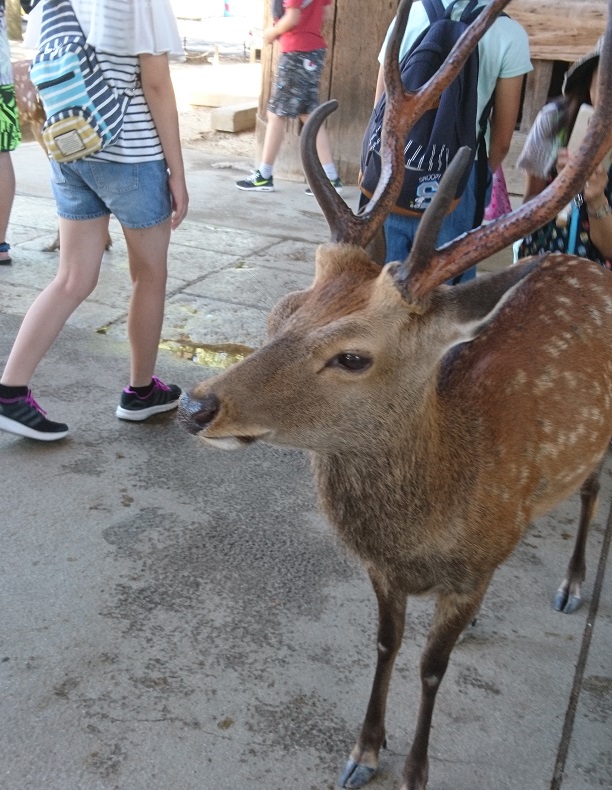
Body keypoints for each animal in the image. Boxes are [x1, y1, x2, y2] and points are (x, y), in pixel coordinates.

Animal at [177, 0, 612, 788]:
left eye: (353, 357)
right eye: (282, 312)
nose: (198, 406)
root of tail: (586, 263)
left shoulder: (473, 565)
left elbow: (433, 669)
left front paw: (413, 768)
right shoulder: (386, 572)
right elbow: (385, 644)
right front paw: (364, 749)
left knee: (594, 486)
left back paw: (570, 584)